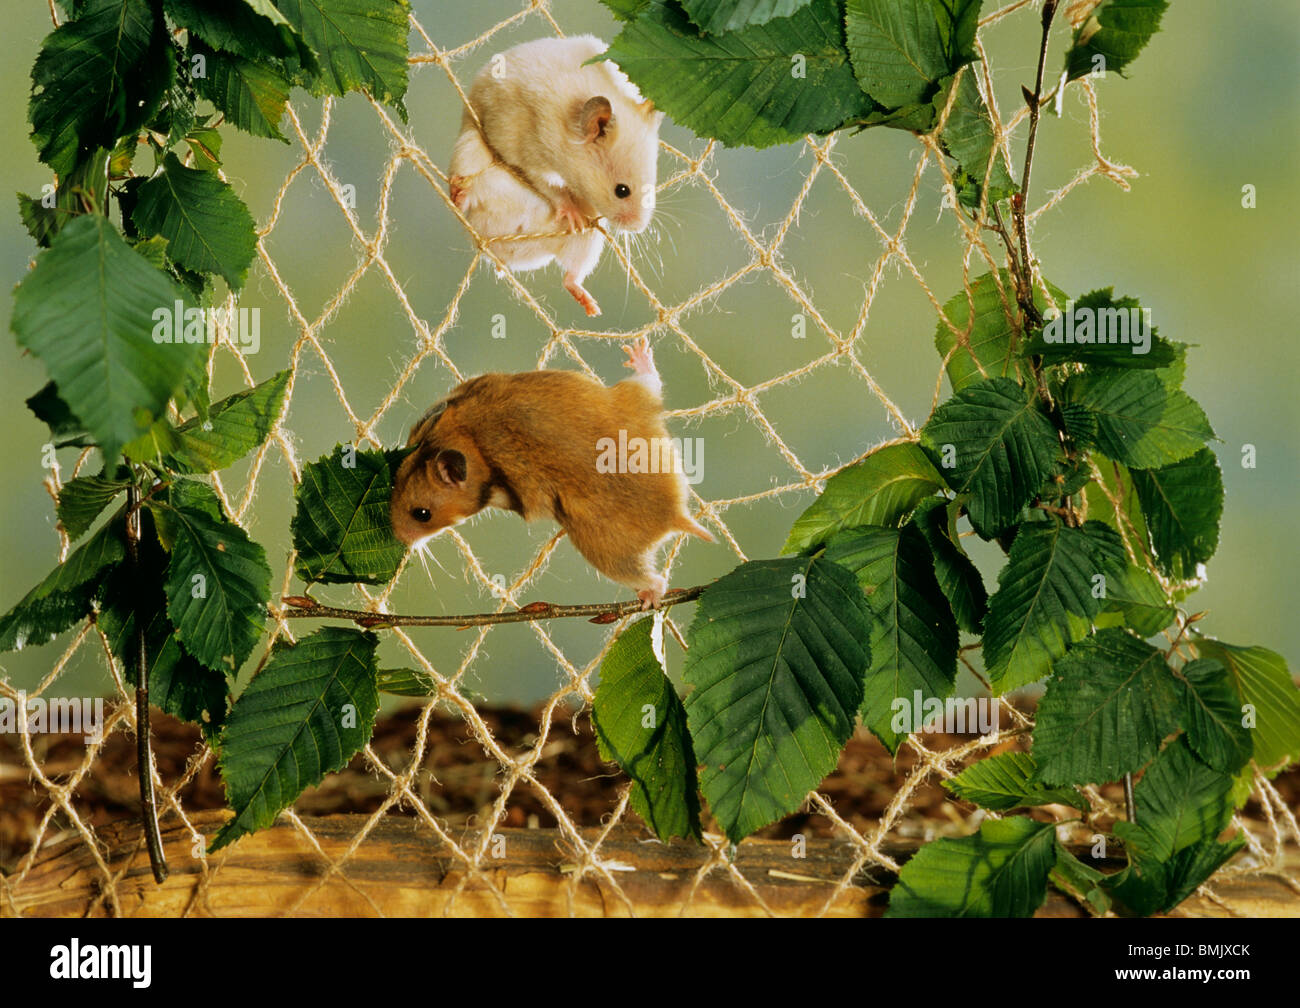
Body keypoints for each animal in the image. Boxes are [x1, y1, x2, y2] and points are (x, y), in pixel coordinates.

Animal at [390, 339, 711, 608]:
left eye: (422, 514)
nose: (398, 537)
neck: (468, 440)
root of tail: (674, 514)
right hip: (633, 401)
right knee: (650, 382)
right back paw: (638, 352)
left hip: (606, 553)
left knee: (652, 579)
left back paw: (649, 598)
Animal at [448, 35, 664, 317]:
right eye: (622, 190)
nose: (638, 228)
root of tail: (503, 251)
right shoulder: (530, 152)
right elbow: (550, 186)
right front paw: (572, 213)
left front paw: (575, 217)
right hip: (469, 148)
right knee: (465, 192)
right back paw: (457, 194)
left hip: (588, 240)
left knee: (571, 277)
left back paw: (591, 307)